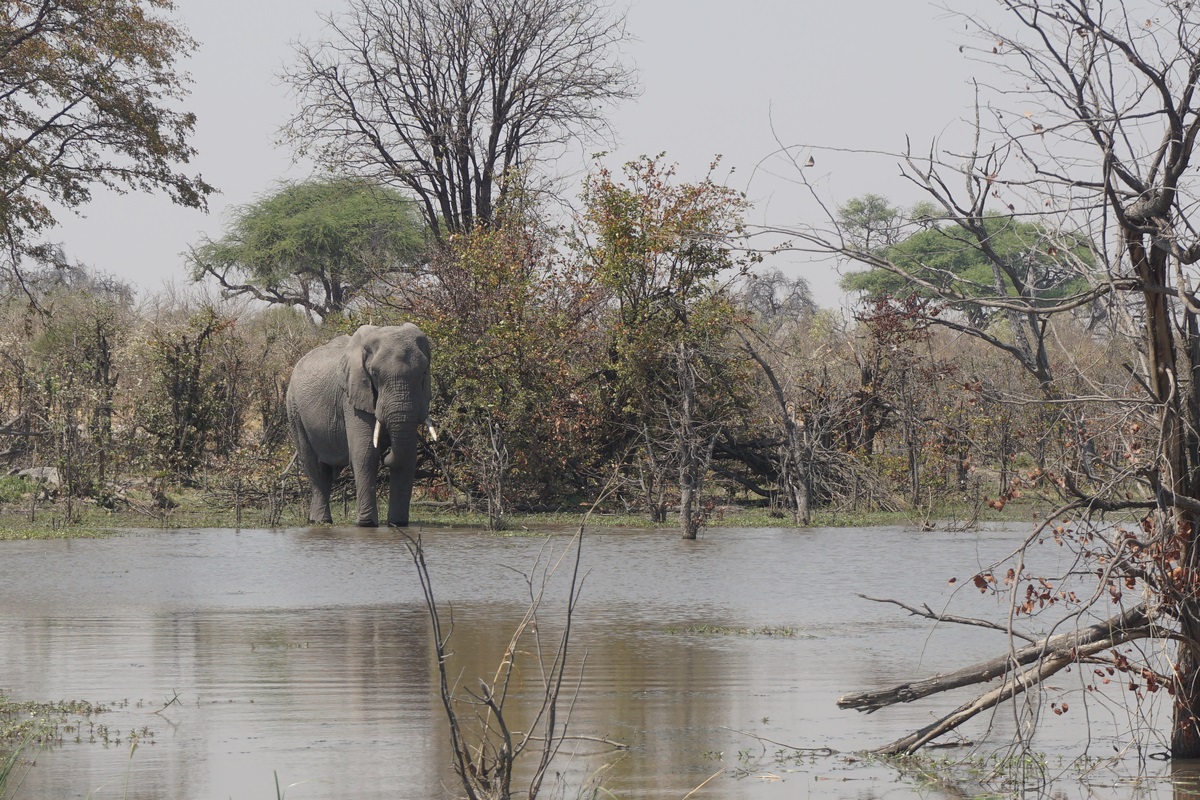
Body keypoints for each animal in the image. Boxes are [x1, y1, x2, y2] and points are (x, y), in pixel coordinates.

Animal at [286, 323, 434, 527]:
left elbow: (407, 456)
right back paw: (321, 521)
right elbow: (365, 453)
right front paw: (366, 524)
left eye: (423, 373)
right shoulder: (352, 397)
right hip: (294, 410)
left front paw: (397, 524)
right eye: (375, 374)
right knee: (315, 467)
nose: (387, 456)